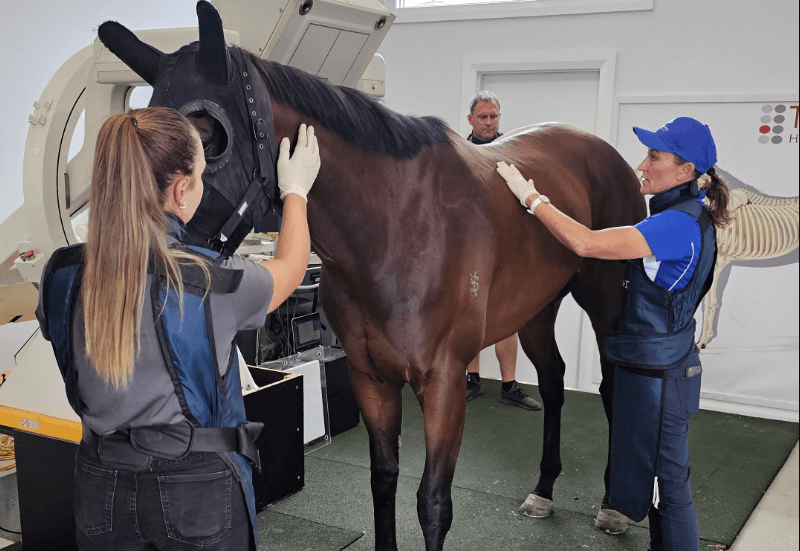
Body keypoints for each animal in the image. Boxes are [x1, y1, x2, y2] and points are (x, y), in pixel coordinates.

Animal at [99, 3, 647, 549]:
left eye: (207, 135)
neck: (395, 230)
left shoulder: (444, 383)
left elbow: (432, 503)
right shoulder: (372, 379)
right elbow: (383, 480)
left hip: (604, 304)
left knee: (613, 388)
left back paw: (614, 505)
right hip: (535, 311)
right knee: (553, 384)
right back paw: (544, 489)